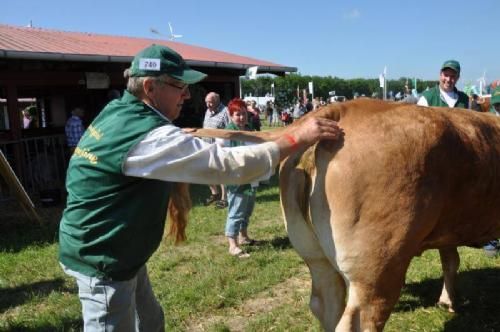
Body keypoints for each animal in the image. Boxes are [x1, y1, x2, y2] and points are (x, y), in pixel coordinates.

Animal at [175, 98, 500, 330]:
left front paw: (448, 300)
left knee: (324, 303)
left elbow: (450, 260)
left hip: (315, 253)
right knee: (358, 319)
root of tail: (341, 110)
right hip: (377, 268)